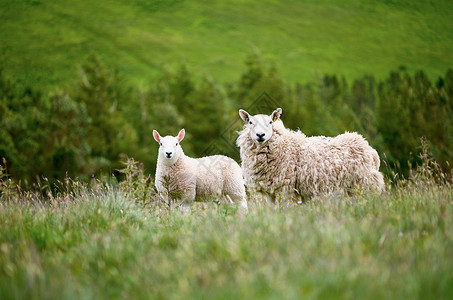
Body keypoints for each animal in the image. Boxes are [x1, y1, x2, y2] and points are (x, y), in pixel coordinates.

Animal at [235, 106, 384, 203]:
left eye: (270, 122)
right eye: (250, 122)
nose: (260, 135)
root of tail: (367, 146)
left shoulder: (286, 189)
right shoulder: (270, 193)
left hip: (365, 184)